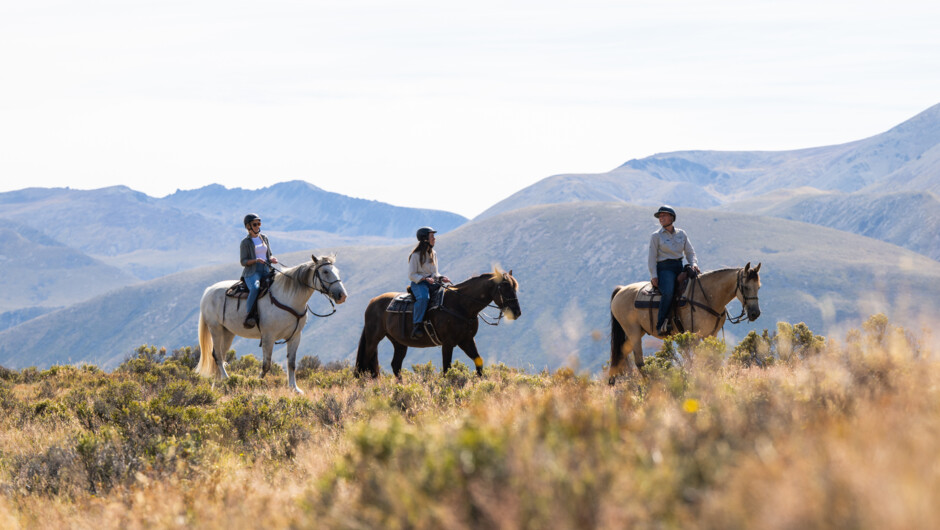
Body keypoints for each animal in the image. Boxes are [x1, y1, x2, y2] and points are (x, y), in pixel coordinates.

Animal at [196, 254, 347, 393]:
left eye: (337, 271)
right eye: (325, 271)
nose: (342, 296)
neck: (288, 298)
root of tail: (208, 290)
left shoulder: (295, 337)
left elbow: (291, 363)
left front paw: (294, 388)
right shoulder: (268, 337)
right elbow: (266, 365)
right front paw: (256, 382)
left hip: (228, 332)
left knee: (221, 355)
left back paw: (218, 383)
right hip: (215, 329)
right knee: (217, 355)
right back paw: (226, 379)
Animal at [355, 268, 521, 379]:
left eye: (515, 287)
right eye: (505, 287)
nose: (517, 312)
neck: (460, 305)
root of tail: (372, 302)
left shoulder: (466, 340)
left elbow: (478, 363)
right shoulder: (448, 343)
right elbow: (447, 369)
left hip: (399, 343)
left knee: (396, 365)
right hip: (373, 338)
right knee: (365, 362)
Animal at [608, 262, 762, 384]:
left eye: (758, 287)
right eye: (745, 287)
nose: (755, 313)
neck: (708, 297)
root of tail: (621, 290)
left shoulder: (711, 335)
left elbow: (712, 360)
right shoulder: (694, 336)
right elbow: (698, 360)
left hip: (637, 332)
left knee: (622, 355)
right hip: (633, 331)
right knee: (639, 362)